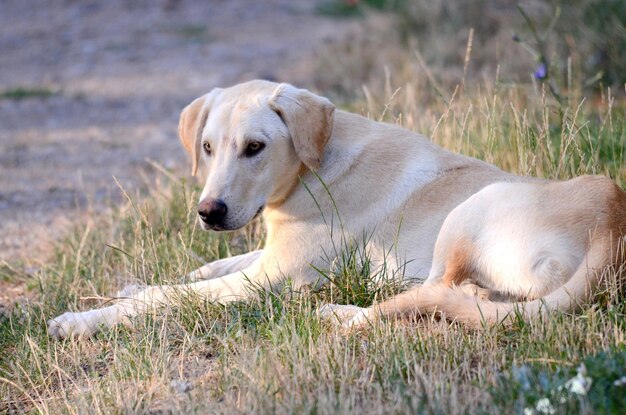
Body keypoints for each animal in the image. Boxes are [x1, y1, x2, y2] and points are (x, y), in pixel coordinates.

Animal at [47, 80, 624, 338]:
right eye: (207, 147)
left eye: (254, 147)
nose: (208, 212)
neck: (314, 165)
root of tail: (611, 225)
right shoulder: (266, 256)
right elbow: (203, 270)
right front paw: (133, 285)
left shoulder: (271, 277)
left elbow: (171, 297)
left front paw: (85, 318)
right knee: (461, 298)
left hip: (470, 211)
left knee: (424, 294)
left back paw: (341, 314)